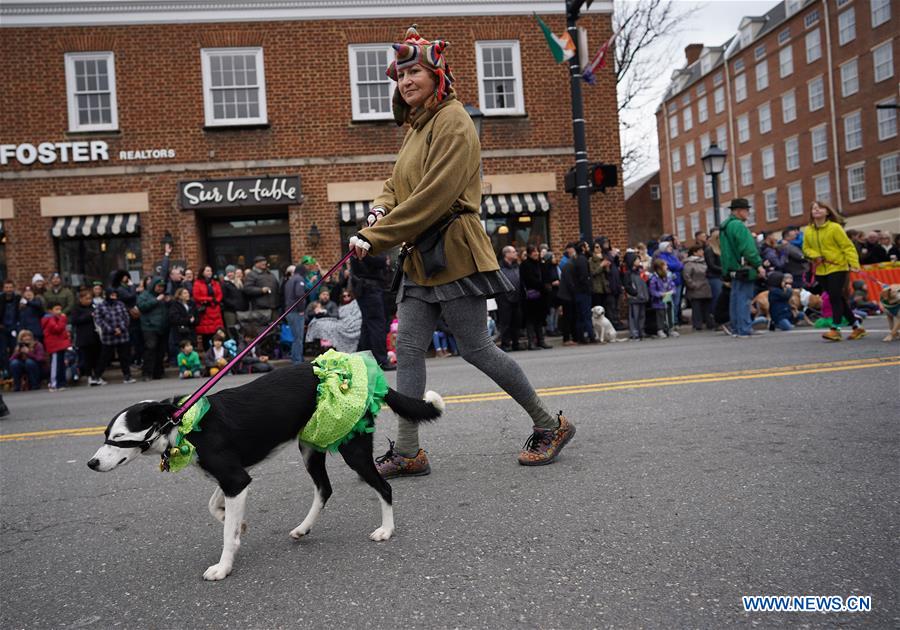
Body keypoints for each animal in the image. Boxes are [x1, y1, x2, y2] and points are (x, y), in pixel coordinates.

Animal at [86, 366, 444, 584]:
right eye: (105, 435)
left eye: (119, 438)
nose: (91, 463)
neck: (183, 424)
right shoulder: (233, 479)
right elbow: (215, 506)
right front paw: (237, 523)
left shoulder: (235, 479)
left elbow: (226, 534)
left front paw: (223, 566)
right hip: (310, 446)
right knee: (324, 489)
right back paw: (303, 528)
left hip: (352, 448)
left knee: (383, 488)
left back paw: (386, 530)